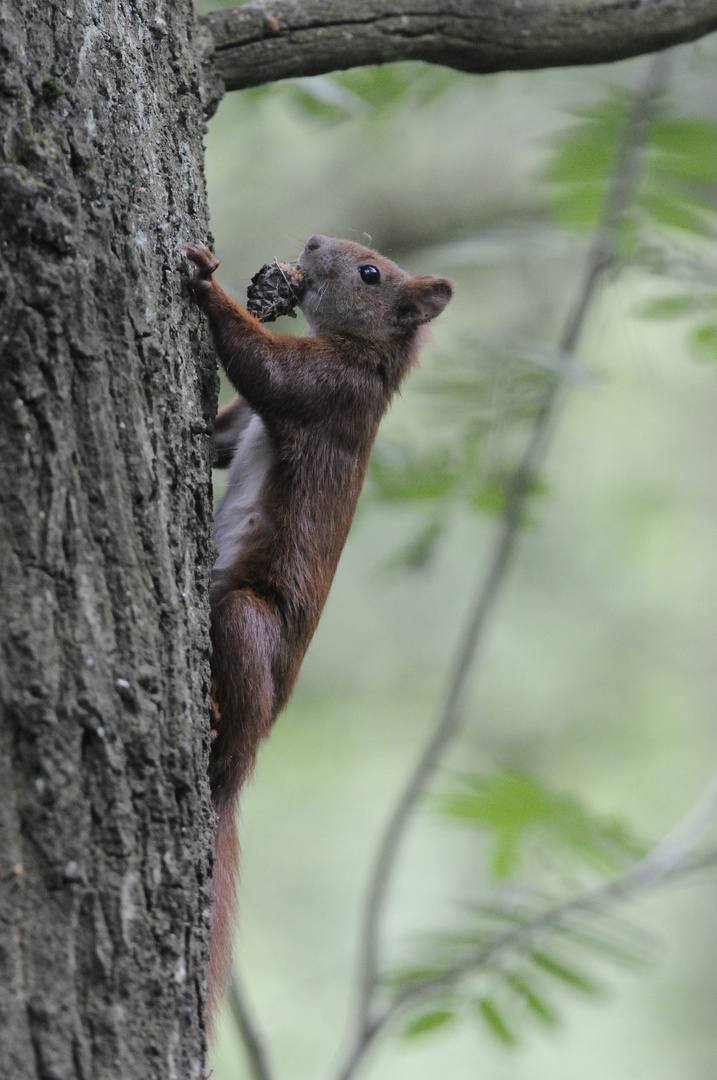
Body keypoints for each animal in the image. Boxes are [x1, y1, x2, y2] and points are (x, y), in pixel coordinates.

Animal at [182, 236, 451, 1028]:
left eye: (370, 273)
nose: (309, 245)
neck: (369, 358)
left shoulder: (328, 392)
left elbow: (266, 368)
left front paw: (206, 284)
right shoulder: (249, 423)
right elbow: (223, 436)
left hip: (249, 621)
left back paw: (218, 723)